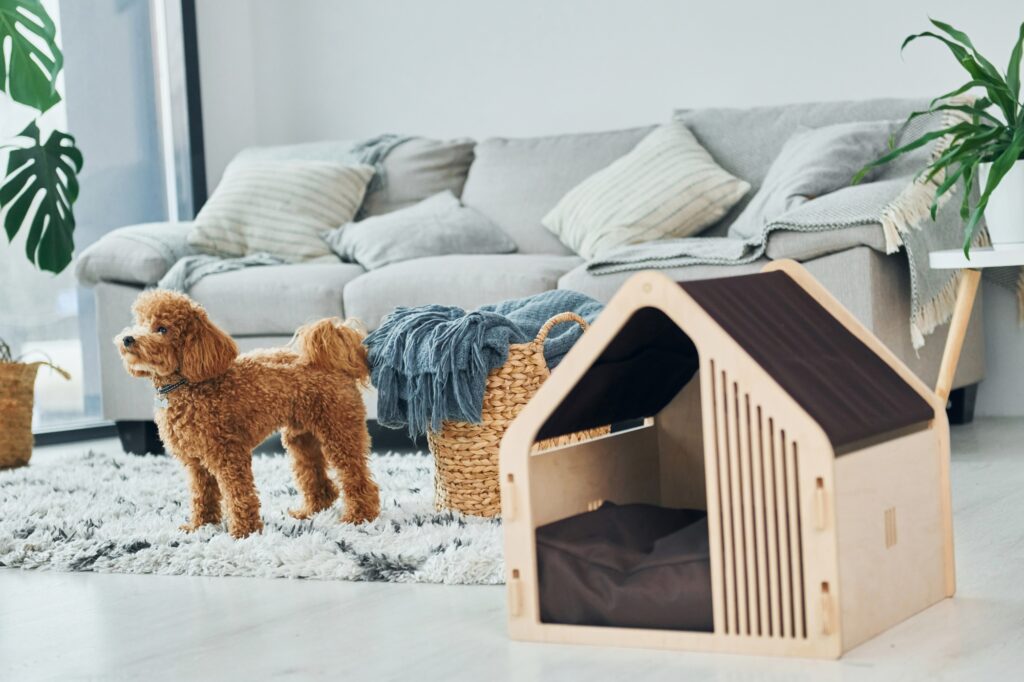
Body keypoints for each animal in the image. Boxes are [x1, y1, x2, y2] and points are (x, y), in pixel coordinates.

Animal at [116, 288, 380, 536]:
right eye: (140, 322)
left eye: (162, 329)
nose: (128, 338)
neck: (187, 384)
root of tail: (336, 363)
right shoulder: (196, 463)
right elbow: (202, 495)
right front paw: (200, 526)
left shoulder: (228, 454)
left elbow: (238, 494)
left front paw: (243, 532)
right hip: (302, 438)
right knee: (315, 476)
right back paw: (309, 512)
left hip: (339, 430)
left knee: (357, 477)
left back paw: (359, 517)